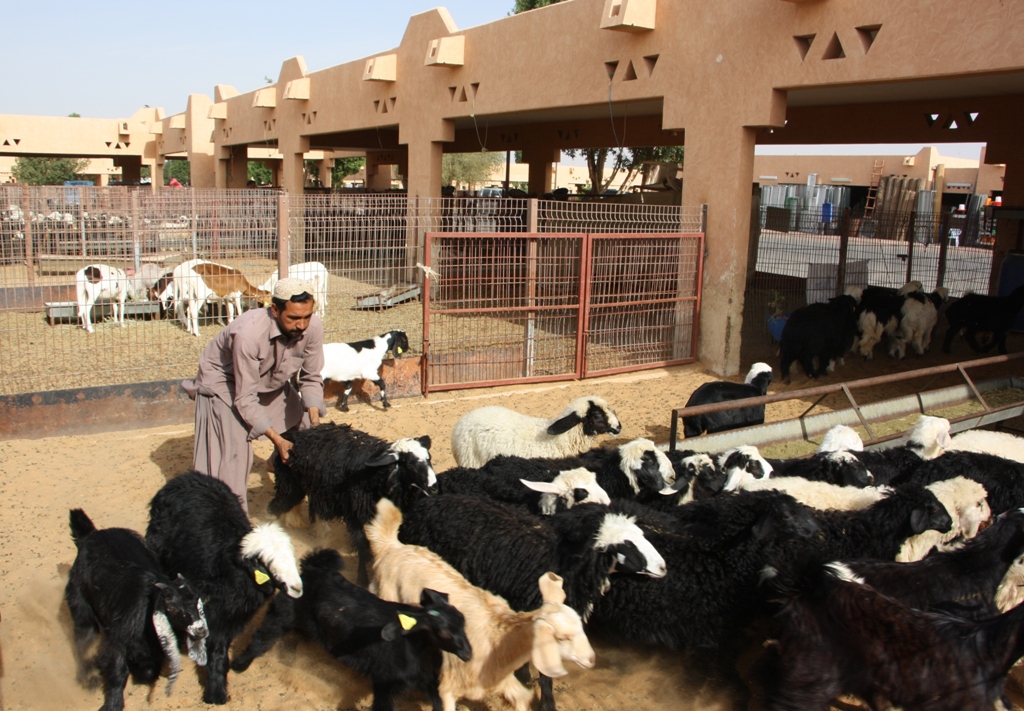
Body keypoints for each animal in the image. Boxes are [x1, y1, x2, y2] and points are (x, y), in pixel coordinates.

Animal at [64, 510, 209, 708]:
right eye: (171, 607)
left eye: (197, 600)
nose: (200, 629)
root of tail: (90, 534)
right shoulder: (116, 641)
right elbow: (118, 672)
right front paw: (112, 704)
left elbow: (149, 671)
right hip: (80, 608)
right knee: (82, 640)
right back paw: (87, 678)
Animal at [145, 473, 303, 708]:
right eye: (265, 563)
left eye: (291, 557)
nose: (297, 588)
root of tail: (187, 477)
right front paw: (216, 692)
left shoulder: (231, 616)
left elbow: (219, 646)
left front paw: (216, 687)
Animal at [229, 553, 471, 711]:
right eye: (443, 632)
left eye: (462, 621)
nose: (468, 653)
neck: (415, 646)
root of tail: (310, 570)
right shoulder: (385, 683)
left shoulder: (426, 680)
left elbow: (438, 701)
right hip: (280, 615)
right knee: (261, 639)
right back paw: (238, 665)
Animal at [266, 424, 434, 586]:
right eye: (410, 463)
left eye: (428, 458)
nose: (433, 487)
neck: (380, 475)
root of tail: (294, 436)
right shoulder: (353, 515)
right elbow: (362, 545)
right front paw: (362, 577)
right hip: (290, 487)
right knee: (274, 507)